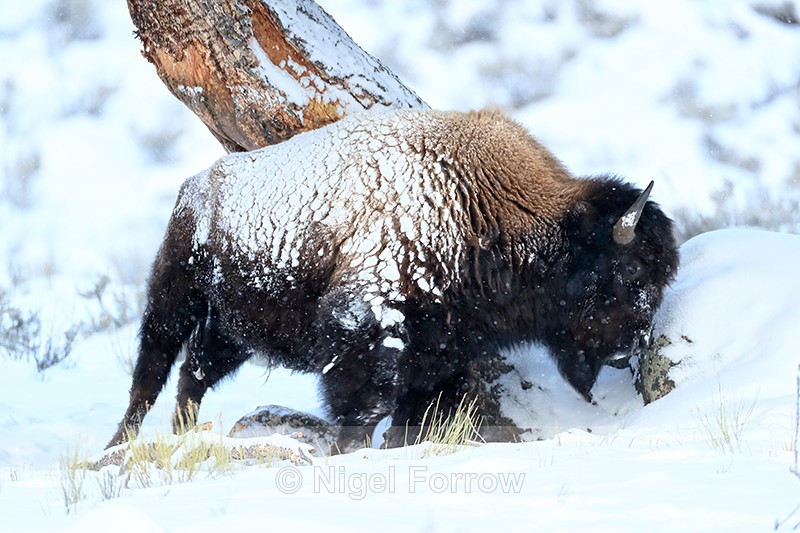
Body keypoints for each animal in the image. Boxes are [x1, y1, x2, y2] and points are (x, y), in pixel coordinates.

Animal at [108, 109, 679, 451]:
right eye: (630, 270)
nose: (632, 346)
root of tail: (194, 188)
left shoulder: (441, 351)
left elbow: (420, 408)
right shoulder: (364, 327)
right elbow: (364, 405)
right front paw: (350, 451)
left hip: (234, 330)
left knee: (195, 372)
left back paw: (181, 436)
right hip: (174, 297)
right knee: (151, 371)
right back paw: (119, 445)